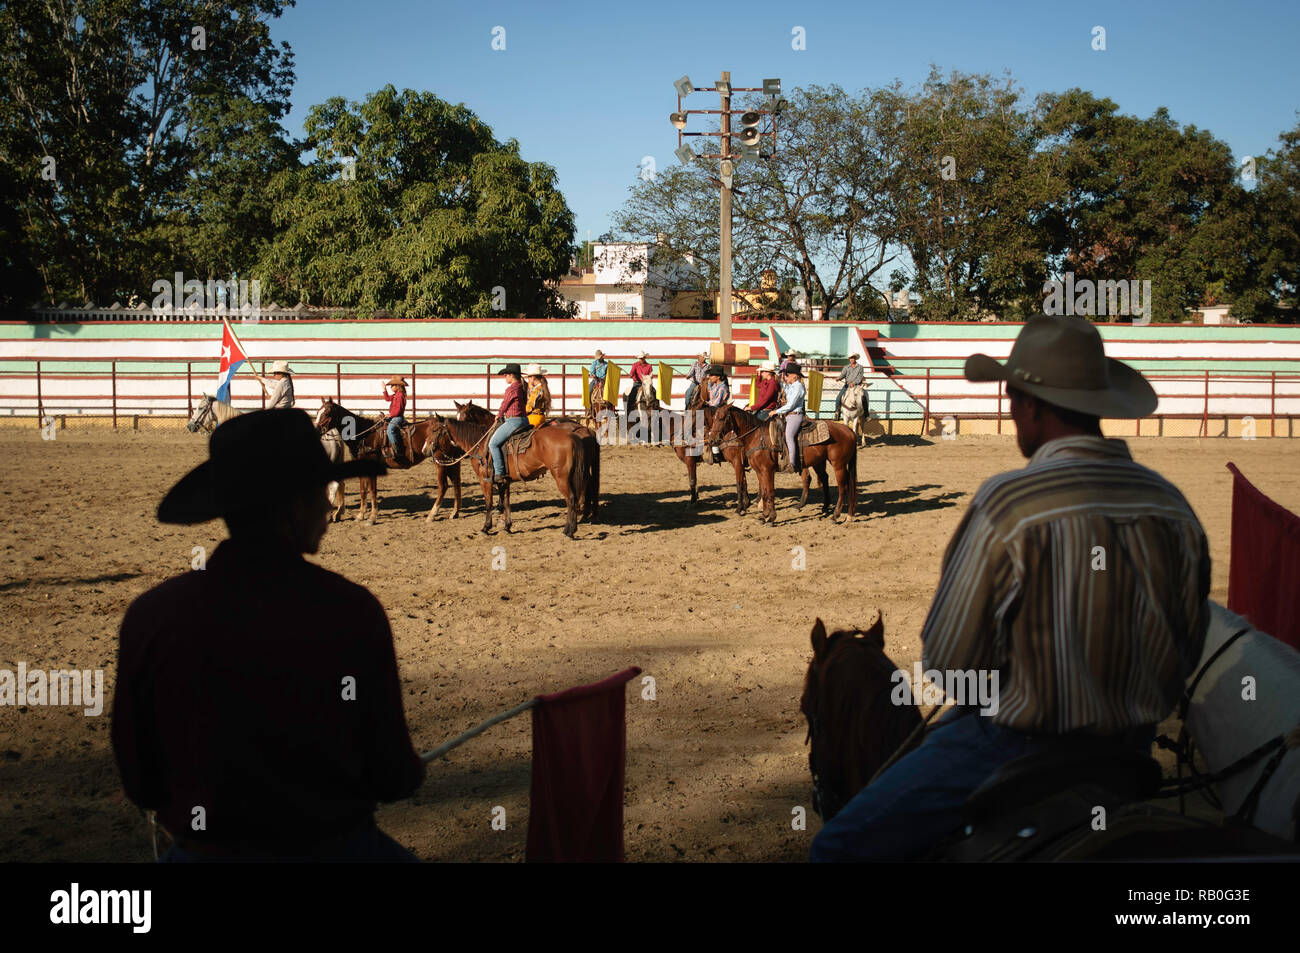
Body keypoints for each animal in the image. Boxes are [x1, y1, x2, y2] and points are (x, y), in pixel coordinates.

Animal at [310, 397, 462, 525]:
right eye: (317, 412)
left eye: (327, 413)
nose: (316, 430)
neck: (365, 434)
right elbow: (362, 491)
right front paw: (360, 515)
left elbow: (372, 491)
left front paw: (372, 518)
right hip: (449, 461)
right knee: (456, 483)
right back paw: (454, 512)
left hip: (439, 461)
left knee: (443, 486)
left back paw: (432, 514)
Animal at [423, 413, 587, 538]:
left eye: (435, 430)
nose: (425, 450)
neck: (480, 445)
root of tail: (571, 435)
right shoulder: (504, 481)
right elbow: (506, 501)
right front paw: (507, 526)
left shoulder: (485, 481)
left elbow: (488, 503)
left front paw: (485, 528)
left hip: (561, 477)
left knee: (571, 499)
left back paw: (568, 531)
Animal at [454, 400, 600, 525]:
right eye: (457, 417)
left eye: (465, 417)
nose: (459, 449)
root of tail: (587, 430)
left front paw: (499, 508)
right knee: (589, 483)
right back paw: (588, 512)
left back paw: (583, 511)